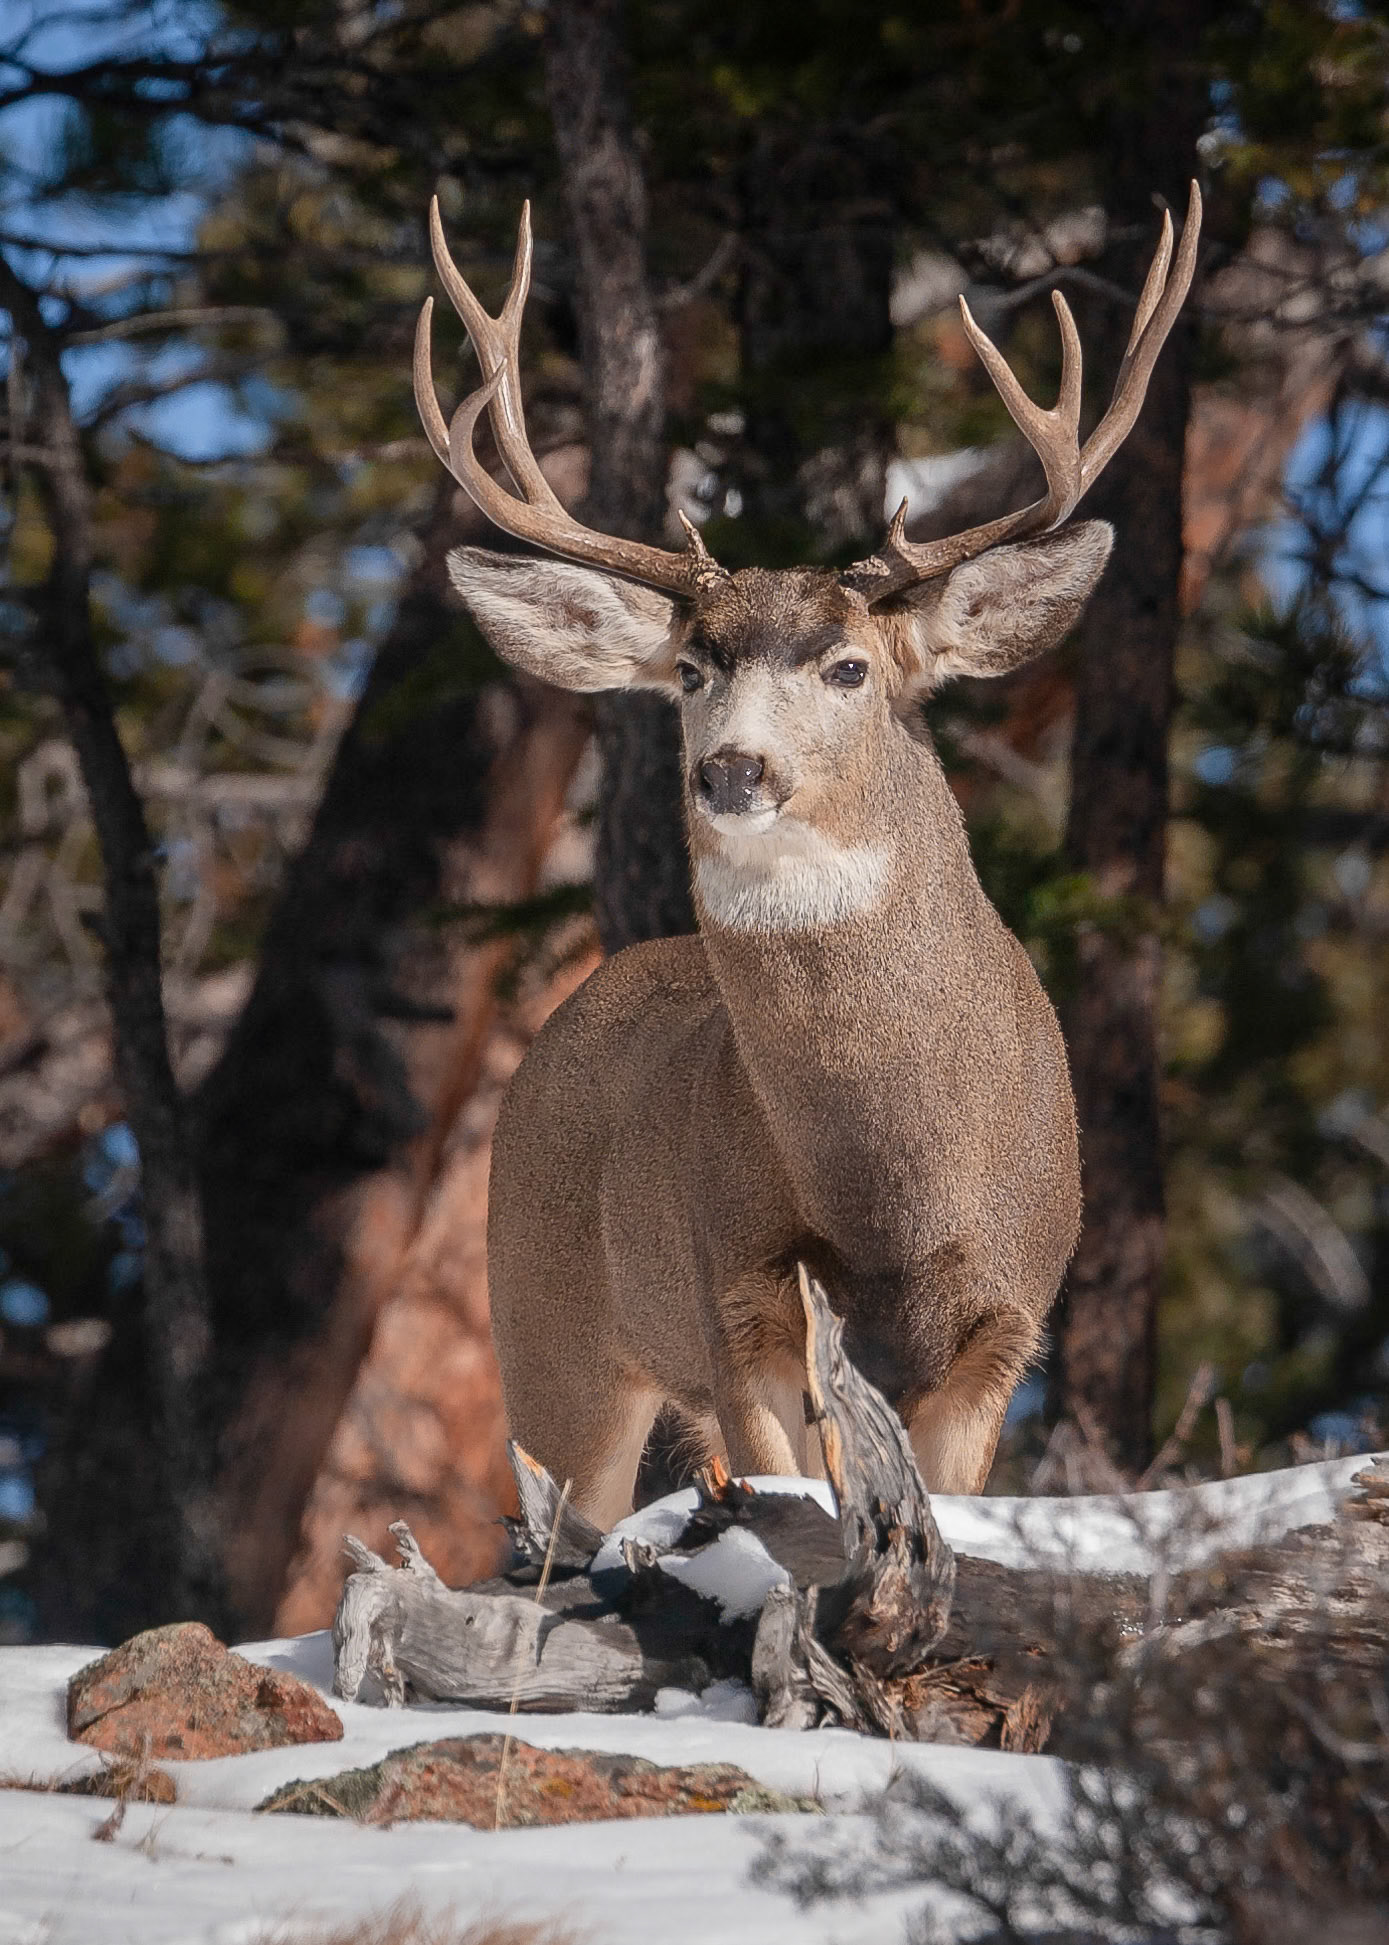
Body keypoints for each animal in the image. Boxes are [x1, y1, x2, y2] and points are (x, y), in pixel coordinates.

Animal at [413, 183, 1201, 1528]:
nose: (732, 770)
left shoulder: (1005, 1322)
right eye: (691, 669)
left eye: (849, 667)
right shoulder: (737, 1309)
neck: (897, 1200)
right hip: (549, 1331)